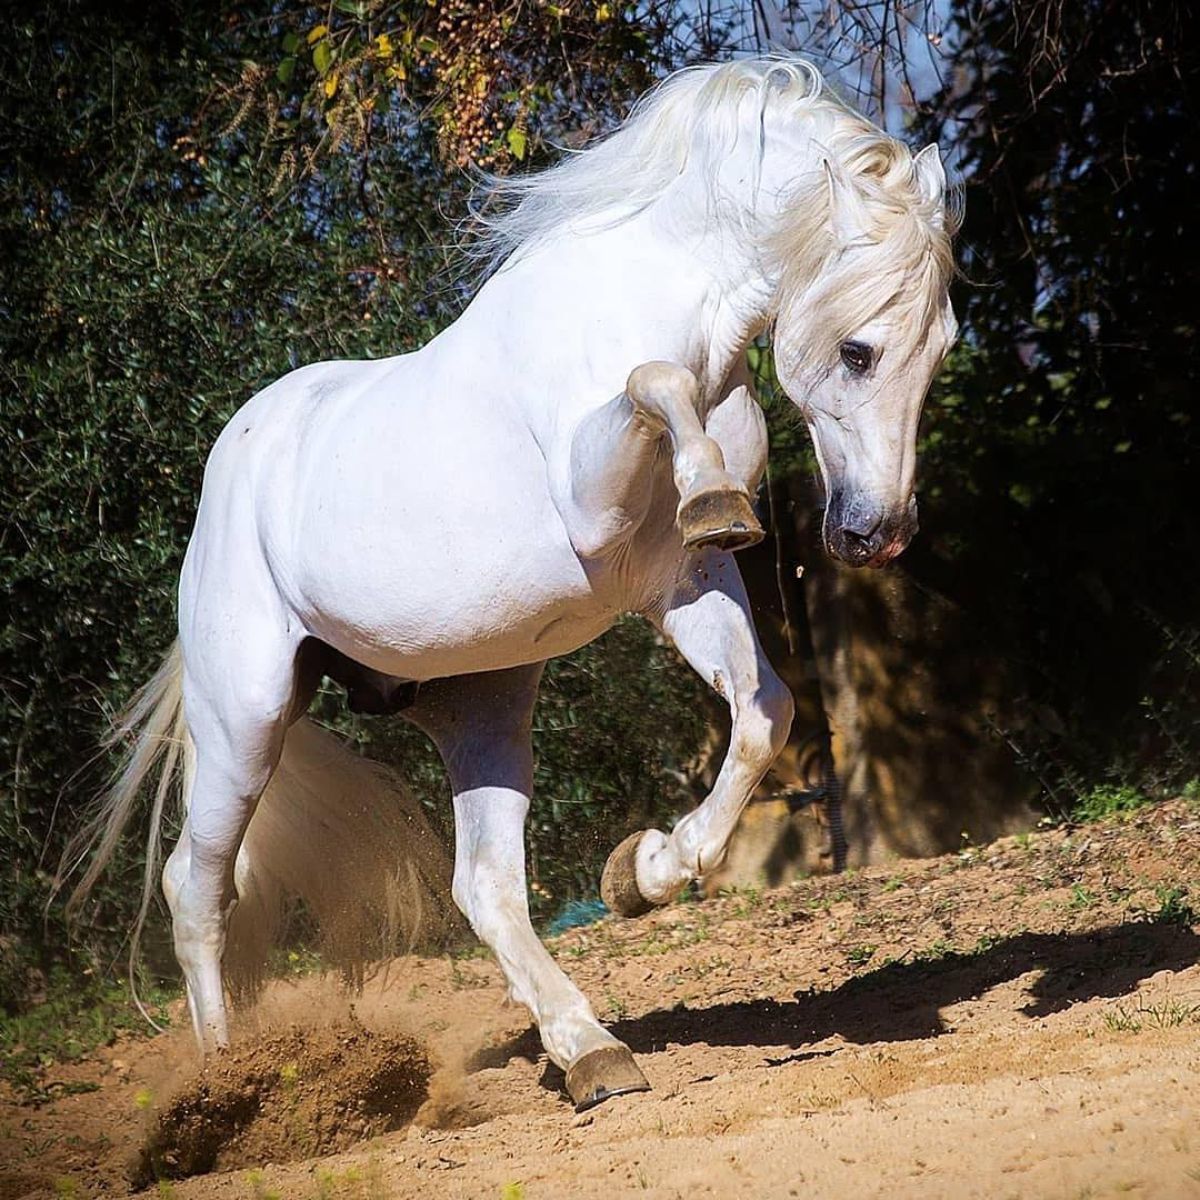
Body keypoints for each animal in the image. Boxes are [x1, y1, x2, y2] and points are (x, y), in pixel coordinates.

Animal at [72, 54, 955, 1104]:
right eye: (858, 350)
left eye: (942, 349)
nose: (877, 533)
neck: (658, 300)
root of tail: (229, 467)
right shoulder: (596, 509)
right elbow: (652, 380)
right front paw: (708, 485)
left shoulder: (678, 579)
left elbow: (763, 715)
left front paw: (645, 872)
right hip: (244, 718)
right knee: (196, 889)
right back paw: (224, 1093)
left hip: (479, 703)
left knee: (483, 886)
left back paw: (592, 1052)